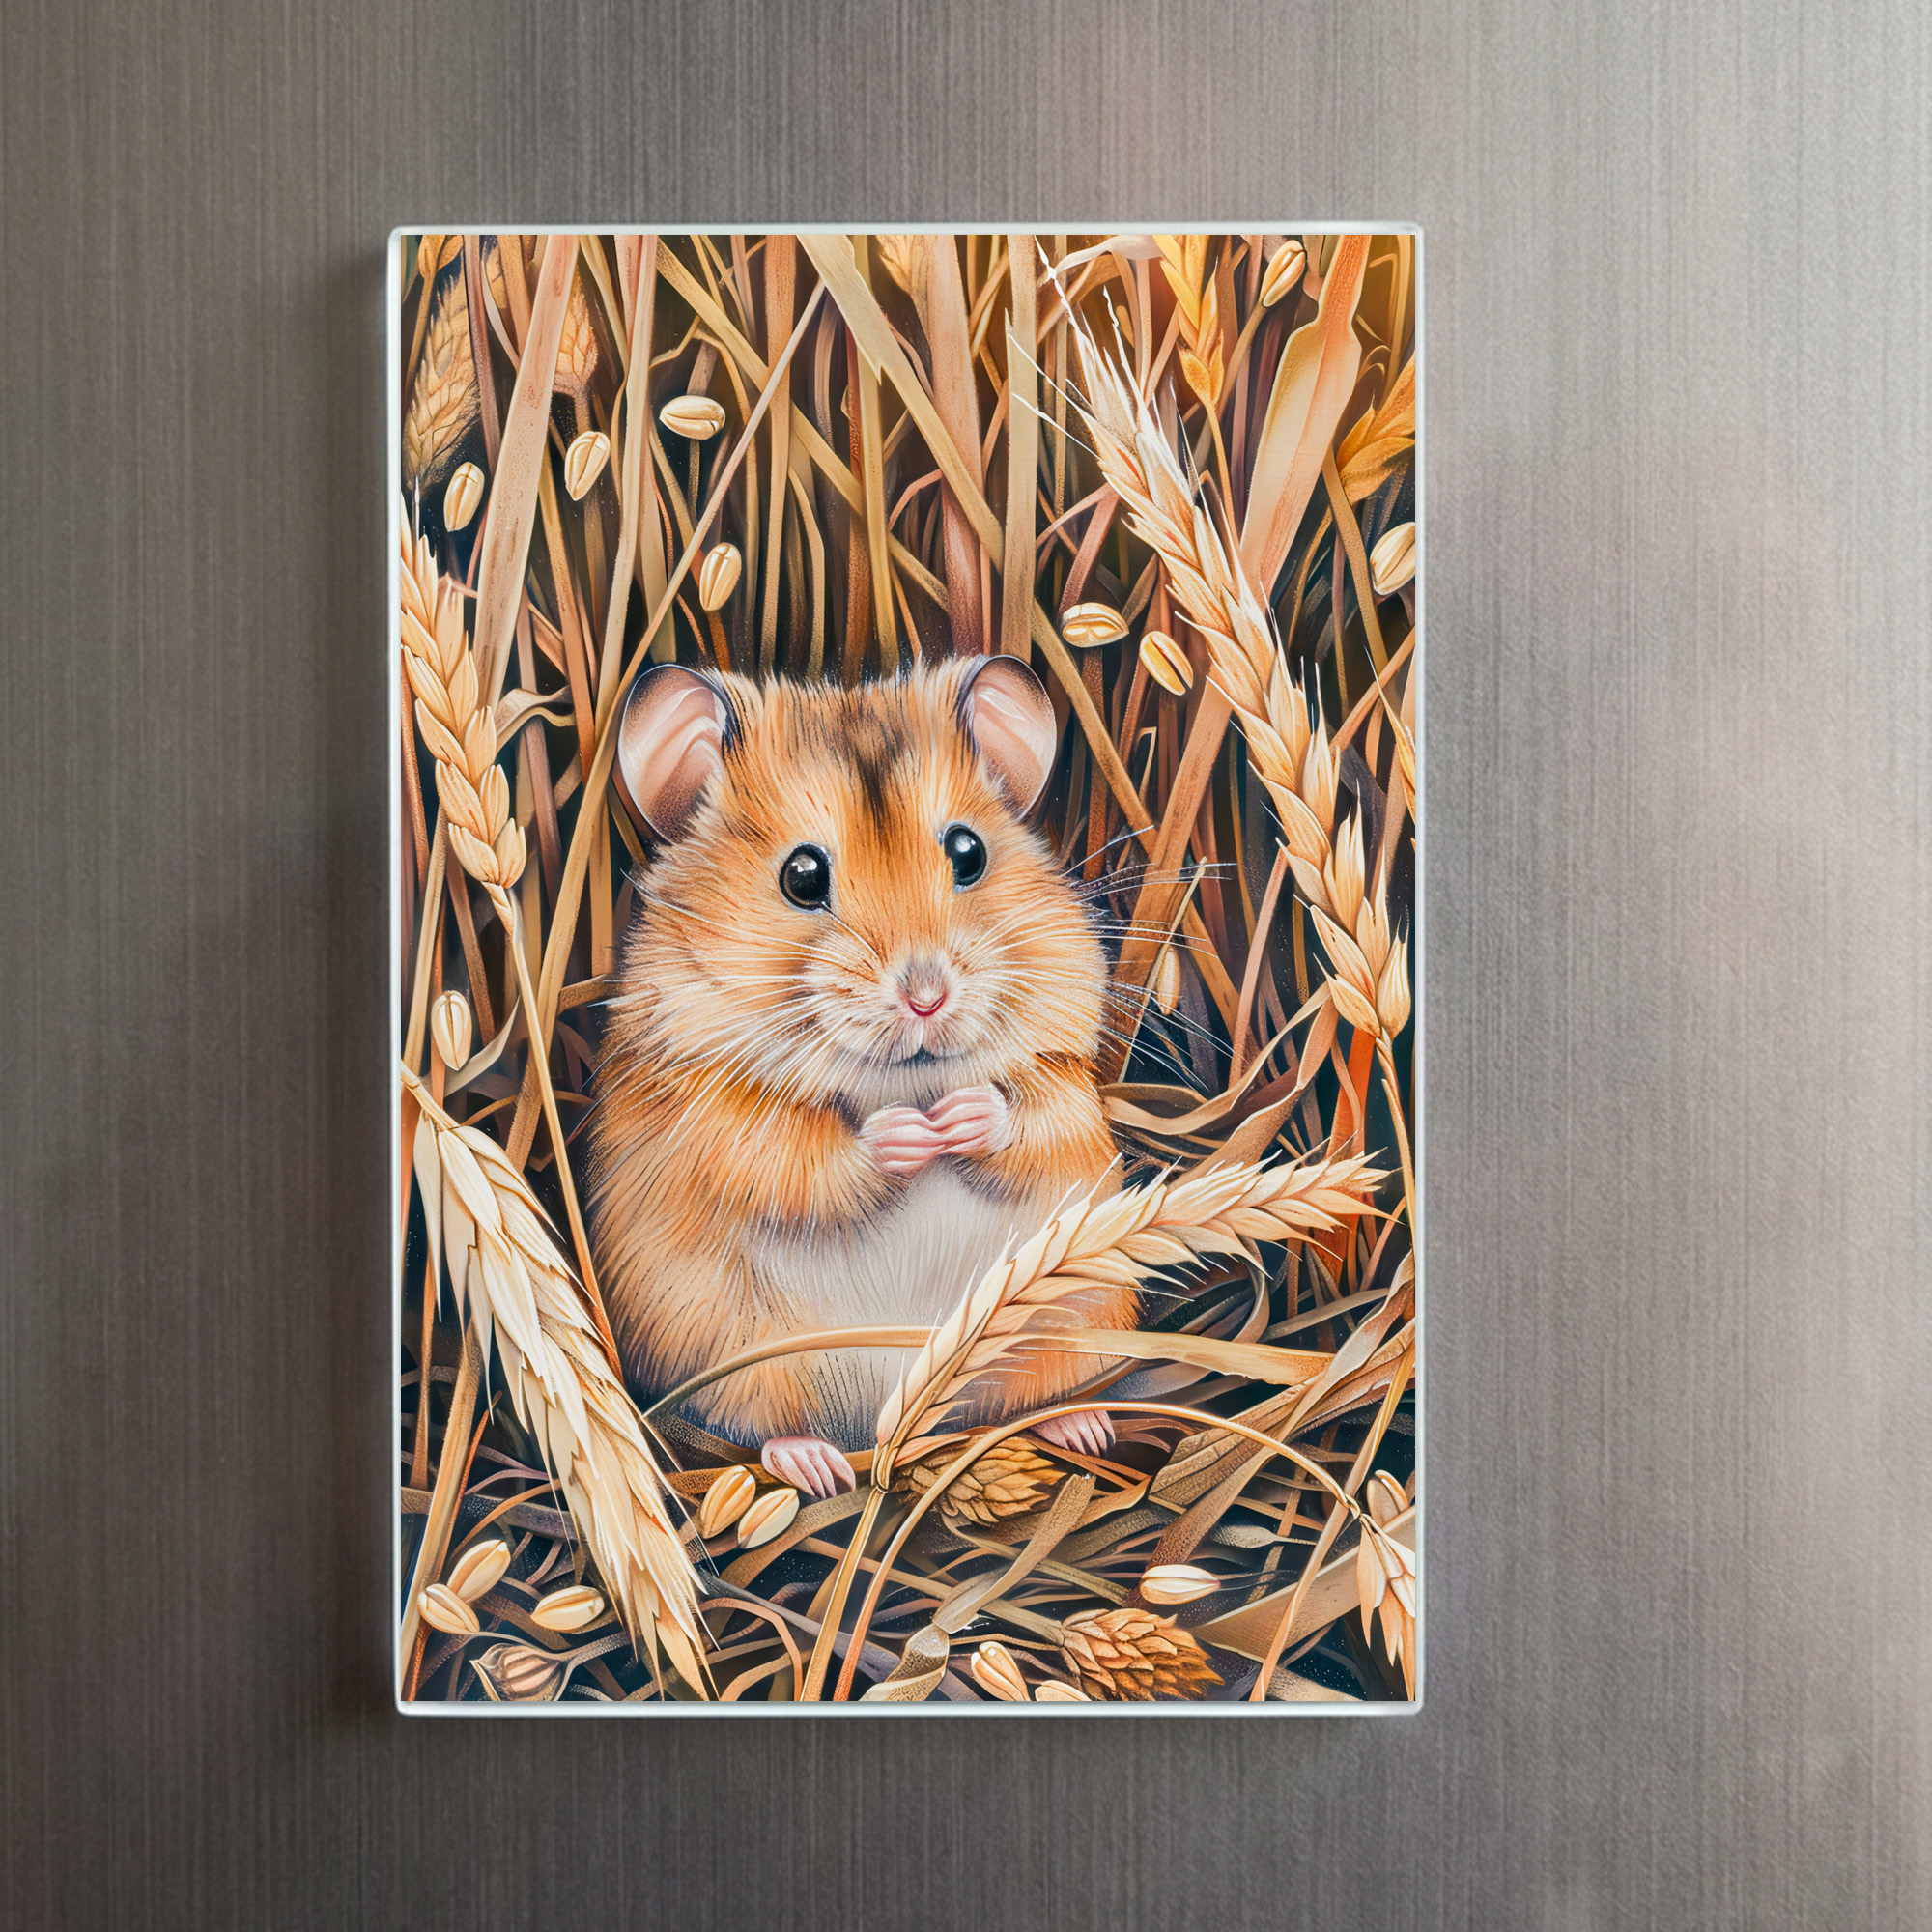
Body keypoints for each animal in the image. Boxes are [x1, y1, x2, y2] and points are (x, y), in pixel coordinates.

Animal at [586, 653, 1130, 1498]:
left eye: (969, 853)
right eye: (803, 876)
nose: (927, 998)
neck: (902, 1080)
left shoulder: (1066, 1080)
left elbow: (1038, 1118)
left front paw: (960, 1120)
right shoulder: (712, 1117)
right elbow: (800, 1157)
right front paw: (909, 1136)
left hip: (1073, 1311)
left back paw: (1084, 1425)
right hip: (736, 1351)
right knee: (765, 1424)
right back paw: (817, 1471)